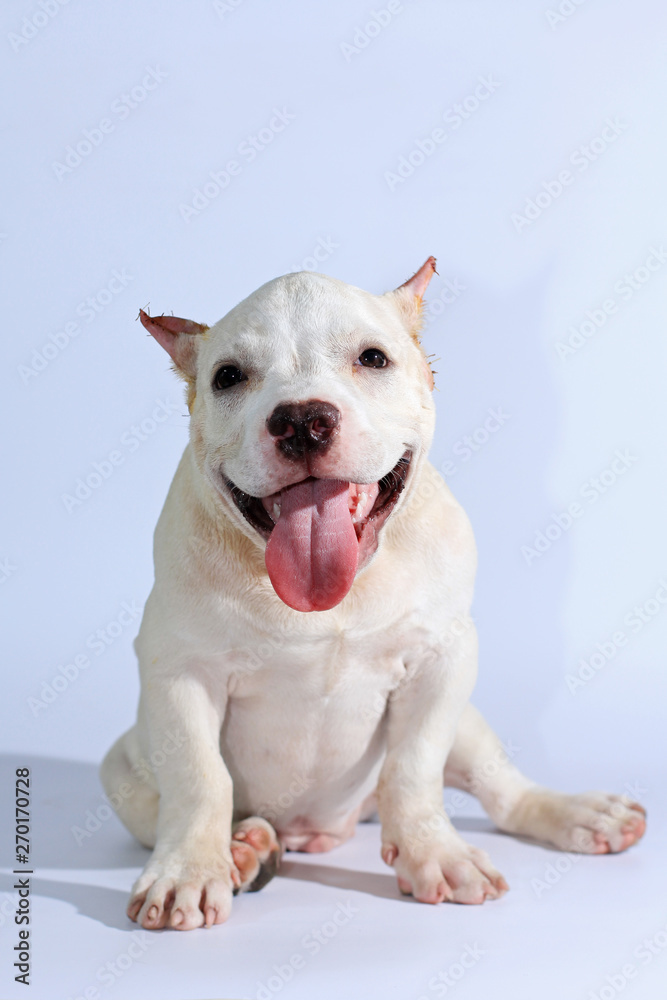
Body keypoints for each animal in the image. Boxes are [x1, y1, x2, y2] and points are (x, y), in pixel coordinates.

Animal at [100, 258, 648, 928]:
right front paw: (190, 874)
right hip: (123, 768)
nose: (301, 420)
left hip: (469, 726)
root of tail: (321, 829)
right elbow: (200, 779)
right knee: (168, 805)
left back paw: (580, 814)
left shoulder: (443, 659)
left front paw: (435, 855)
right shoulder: (181, 674)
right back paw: (246, 848)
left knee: (500, 789)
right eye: (228, 376)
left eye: (373, 358)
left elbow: (414, 768)